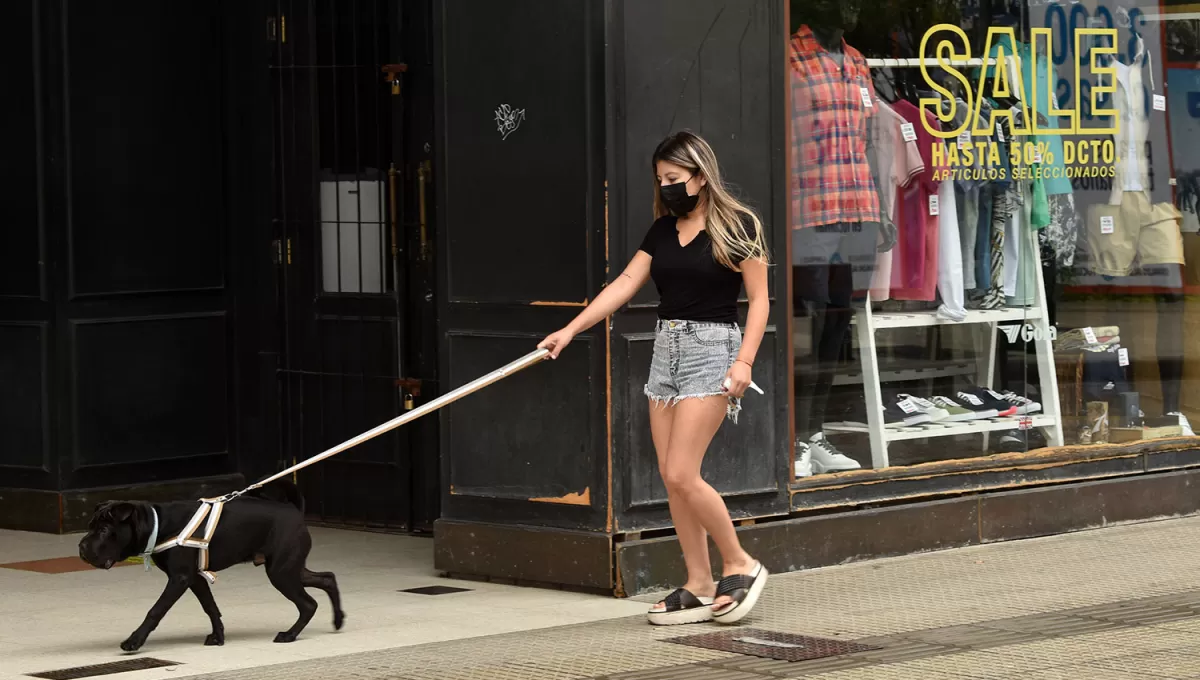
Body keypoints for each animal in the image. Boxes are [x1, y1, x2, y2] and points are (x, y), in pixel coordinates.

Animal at [78, 482, 345, 652]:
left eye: (104, 530)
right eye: (90, 526)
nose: (81, 547)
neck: (157, 524)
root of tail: (294, 511)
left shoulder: (179, 578)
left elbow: (155, 610)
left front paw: (134, 641)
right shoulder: (195, 578)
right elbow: (210, 607)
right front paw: (218, 637)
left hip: (281, 572)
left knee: (308, 604)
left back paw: (289, 635)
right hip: (289, 569)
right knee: (327, 578)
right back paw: (338, 620)